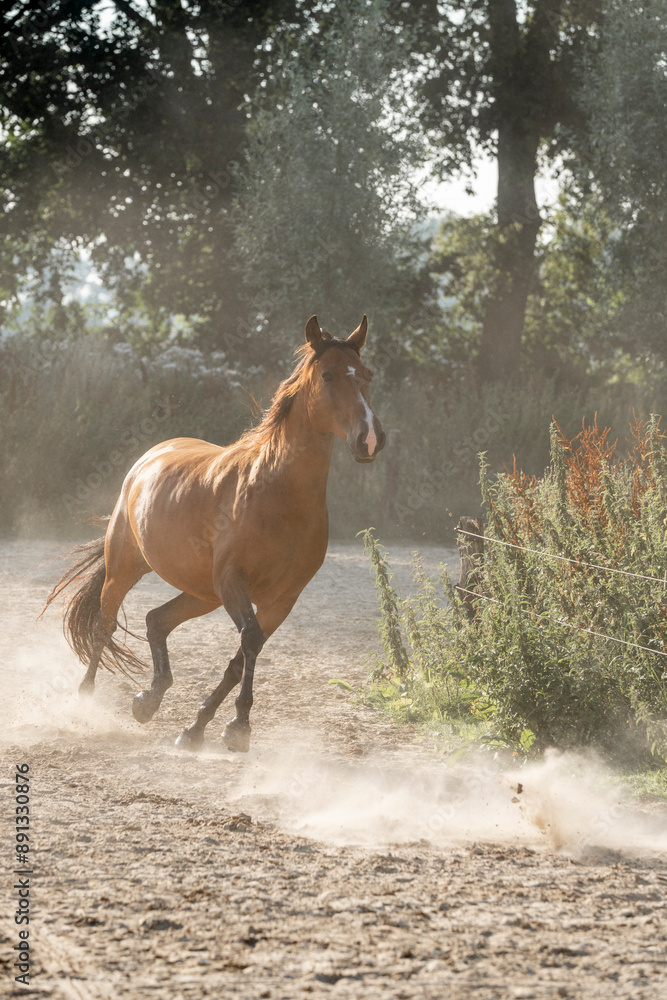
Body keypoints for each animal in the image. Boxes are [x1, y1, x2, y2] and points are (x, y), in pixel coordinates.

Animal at [43, 315, 386, 752]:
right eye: (327, 375)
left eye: (366, 375)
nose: (370, 438)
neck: (277, 492)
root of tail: (150, 456)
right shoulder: (232, 582)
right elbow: (249, 641)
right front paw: (238, 726)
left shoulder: (282, 599)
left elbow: (242, 656)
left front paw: (198, 728)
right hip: (127, 570)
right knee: (105, 626)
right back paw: (87, 701)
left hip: (202, 593)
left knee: (156, 620)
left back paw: (148, 699)